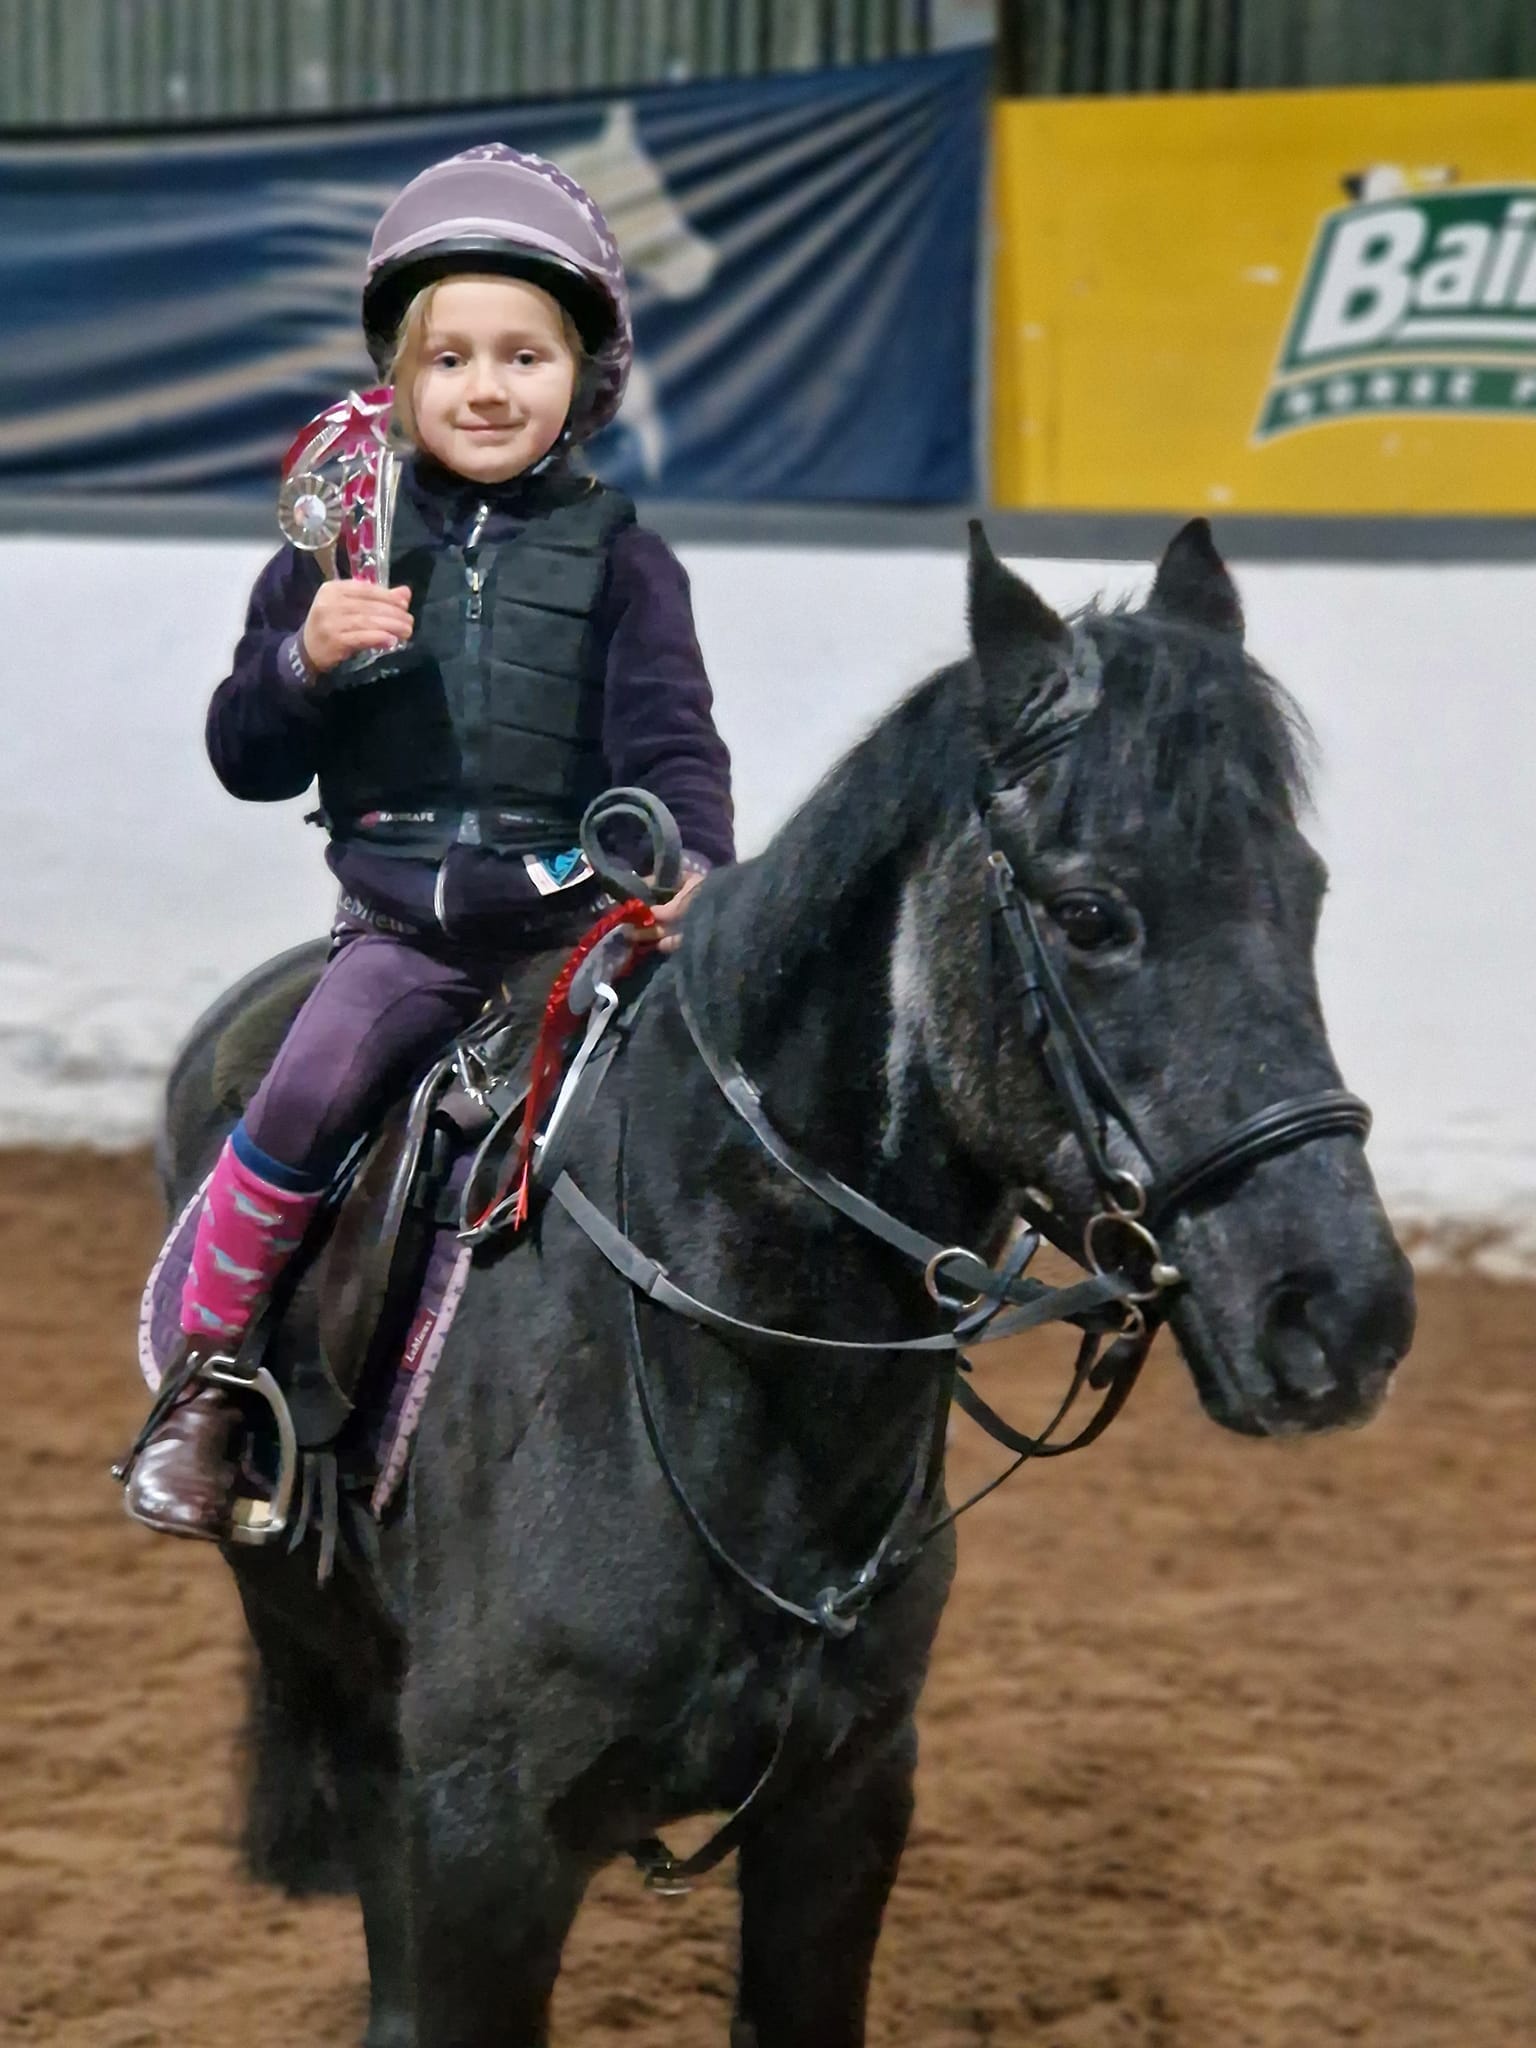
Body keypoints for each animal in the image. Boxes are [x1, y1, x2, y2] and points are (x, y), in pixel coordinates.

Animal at [154, 519, 1414, 2046]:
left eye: (1308, 894)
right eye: (1089, 912)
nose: (1342, 1313)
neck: (731, 1372)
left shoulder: (843, 1803)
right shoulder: (476, 1836)